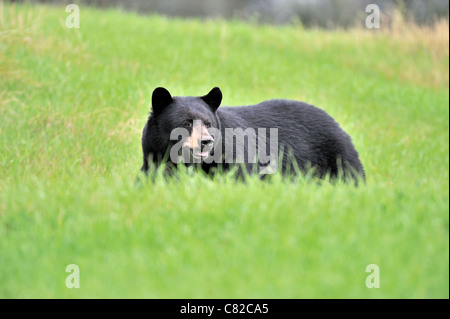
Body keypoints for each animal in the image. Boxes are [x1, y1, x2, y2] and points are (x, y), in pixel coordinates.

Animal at [141, 87, 366, 181]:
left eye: (208, 123)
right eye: (187, 123)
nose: (206, 142)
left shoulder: (232, 155)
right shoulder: (154, 157)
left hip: (337, 157)